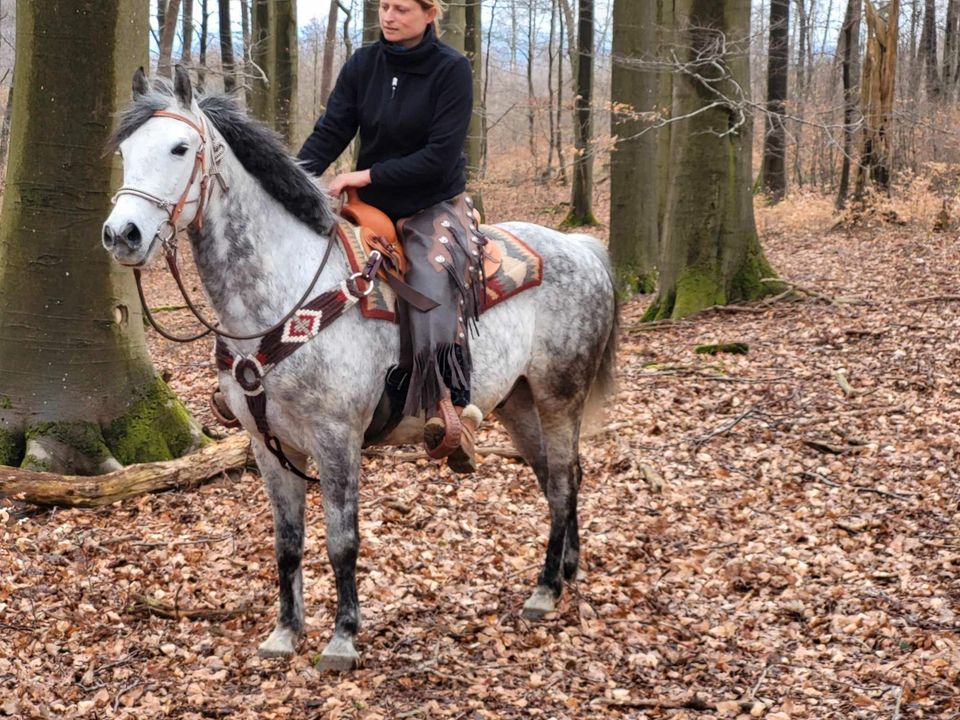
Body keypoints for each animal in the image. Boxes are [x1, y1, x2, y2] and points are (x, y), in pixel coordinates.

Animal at [103, 67, 616, 668]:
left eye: (180, 148)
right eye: (125, 152)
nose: (122, 234)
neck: (284, 293)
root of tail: (581, 246)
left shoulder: (337, 438)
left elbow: (341, 540)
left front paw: (342, 637)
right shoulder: (268, 445)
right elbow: (288, 542)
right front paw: (285, 632)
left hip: (560, 393)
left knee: (559, 479)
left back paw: (546, 589)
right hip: (517, 400)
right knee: (559, 475)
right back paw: (567, 570)